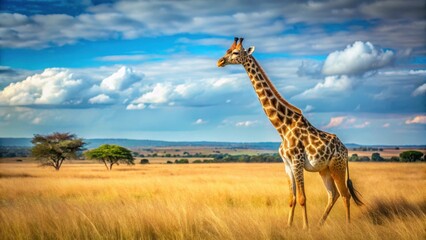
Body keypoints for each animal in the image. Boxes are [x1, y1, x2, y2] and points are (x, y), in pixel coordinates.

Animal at [220, 37, 362, 229]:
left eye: (235, 52)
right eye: (227, 50)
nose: (220, 62)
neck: (282, 127)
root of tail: (346, 150)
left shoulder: (297, 161)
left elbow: (302, 198)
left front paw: (305, 228)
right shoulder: (286, 164)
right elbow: (291, 198)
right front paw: (289, 226)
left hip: (336, 166)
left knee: (345, 194)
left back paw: (346, 225)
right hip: (324, 169)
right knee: (333, 194)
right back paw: (320, 224)